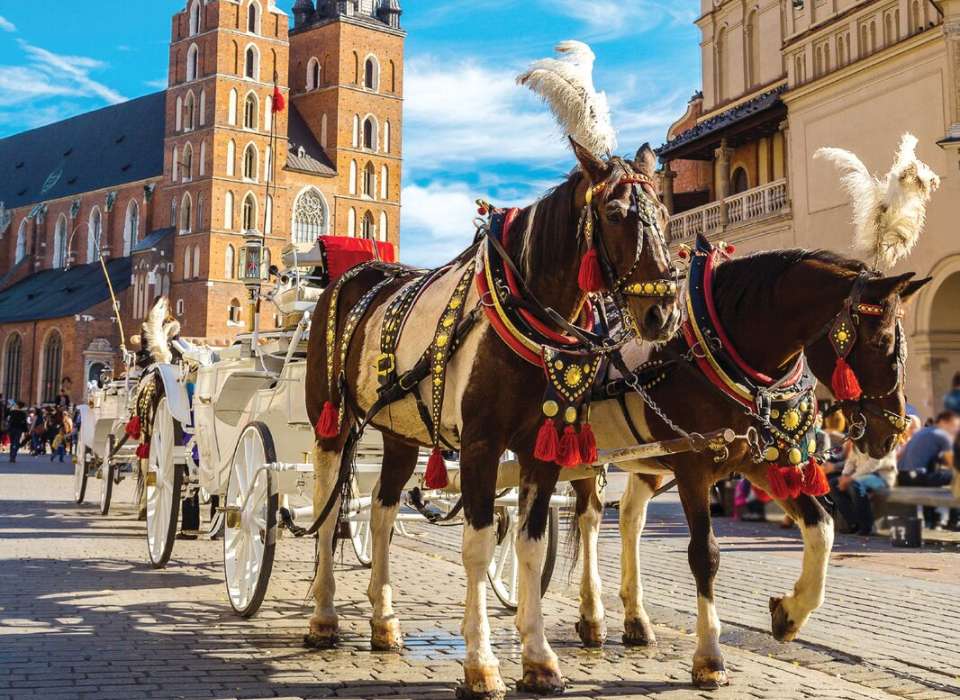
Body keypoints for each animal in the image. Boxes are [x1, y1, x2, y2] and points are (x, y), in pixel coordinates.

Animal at [304, 144, 680, 700]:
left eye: (666, 215)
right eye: (614, 213)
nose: (663, 313)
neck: (529, 321)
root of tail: (351, 277)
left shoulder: (543, 450)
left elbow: (530, 545)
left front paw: (539, 659)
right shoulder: (481, 446)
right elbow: (479, 548)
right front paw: (481, 665)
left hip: (399, 433)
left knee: (381, 512)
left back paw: (384, 621)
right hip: (330, 421)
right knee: (329, 512)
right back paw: (324, 617)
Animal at [572, 245, 928, 688]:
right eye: (881, 342)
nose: (892, 431)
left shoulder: (763, 463)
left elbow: (822, 528)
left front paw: (790, 613)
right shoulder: (692, 468)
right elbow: (704, 554)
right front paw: (709, 657)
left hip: (647, 459)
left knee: (630, 518)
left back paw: (637, 620)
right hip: (583, 455)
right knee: (589, 519)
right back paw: (592, 616)